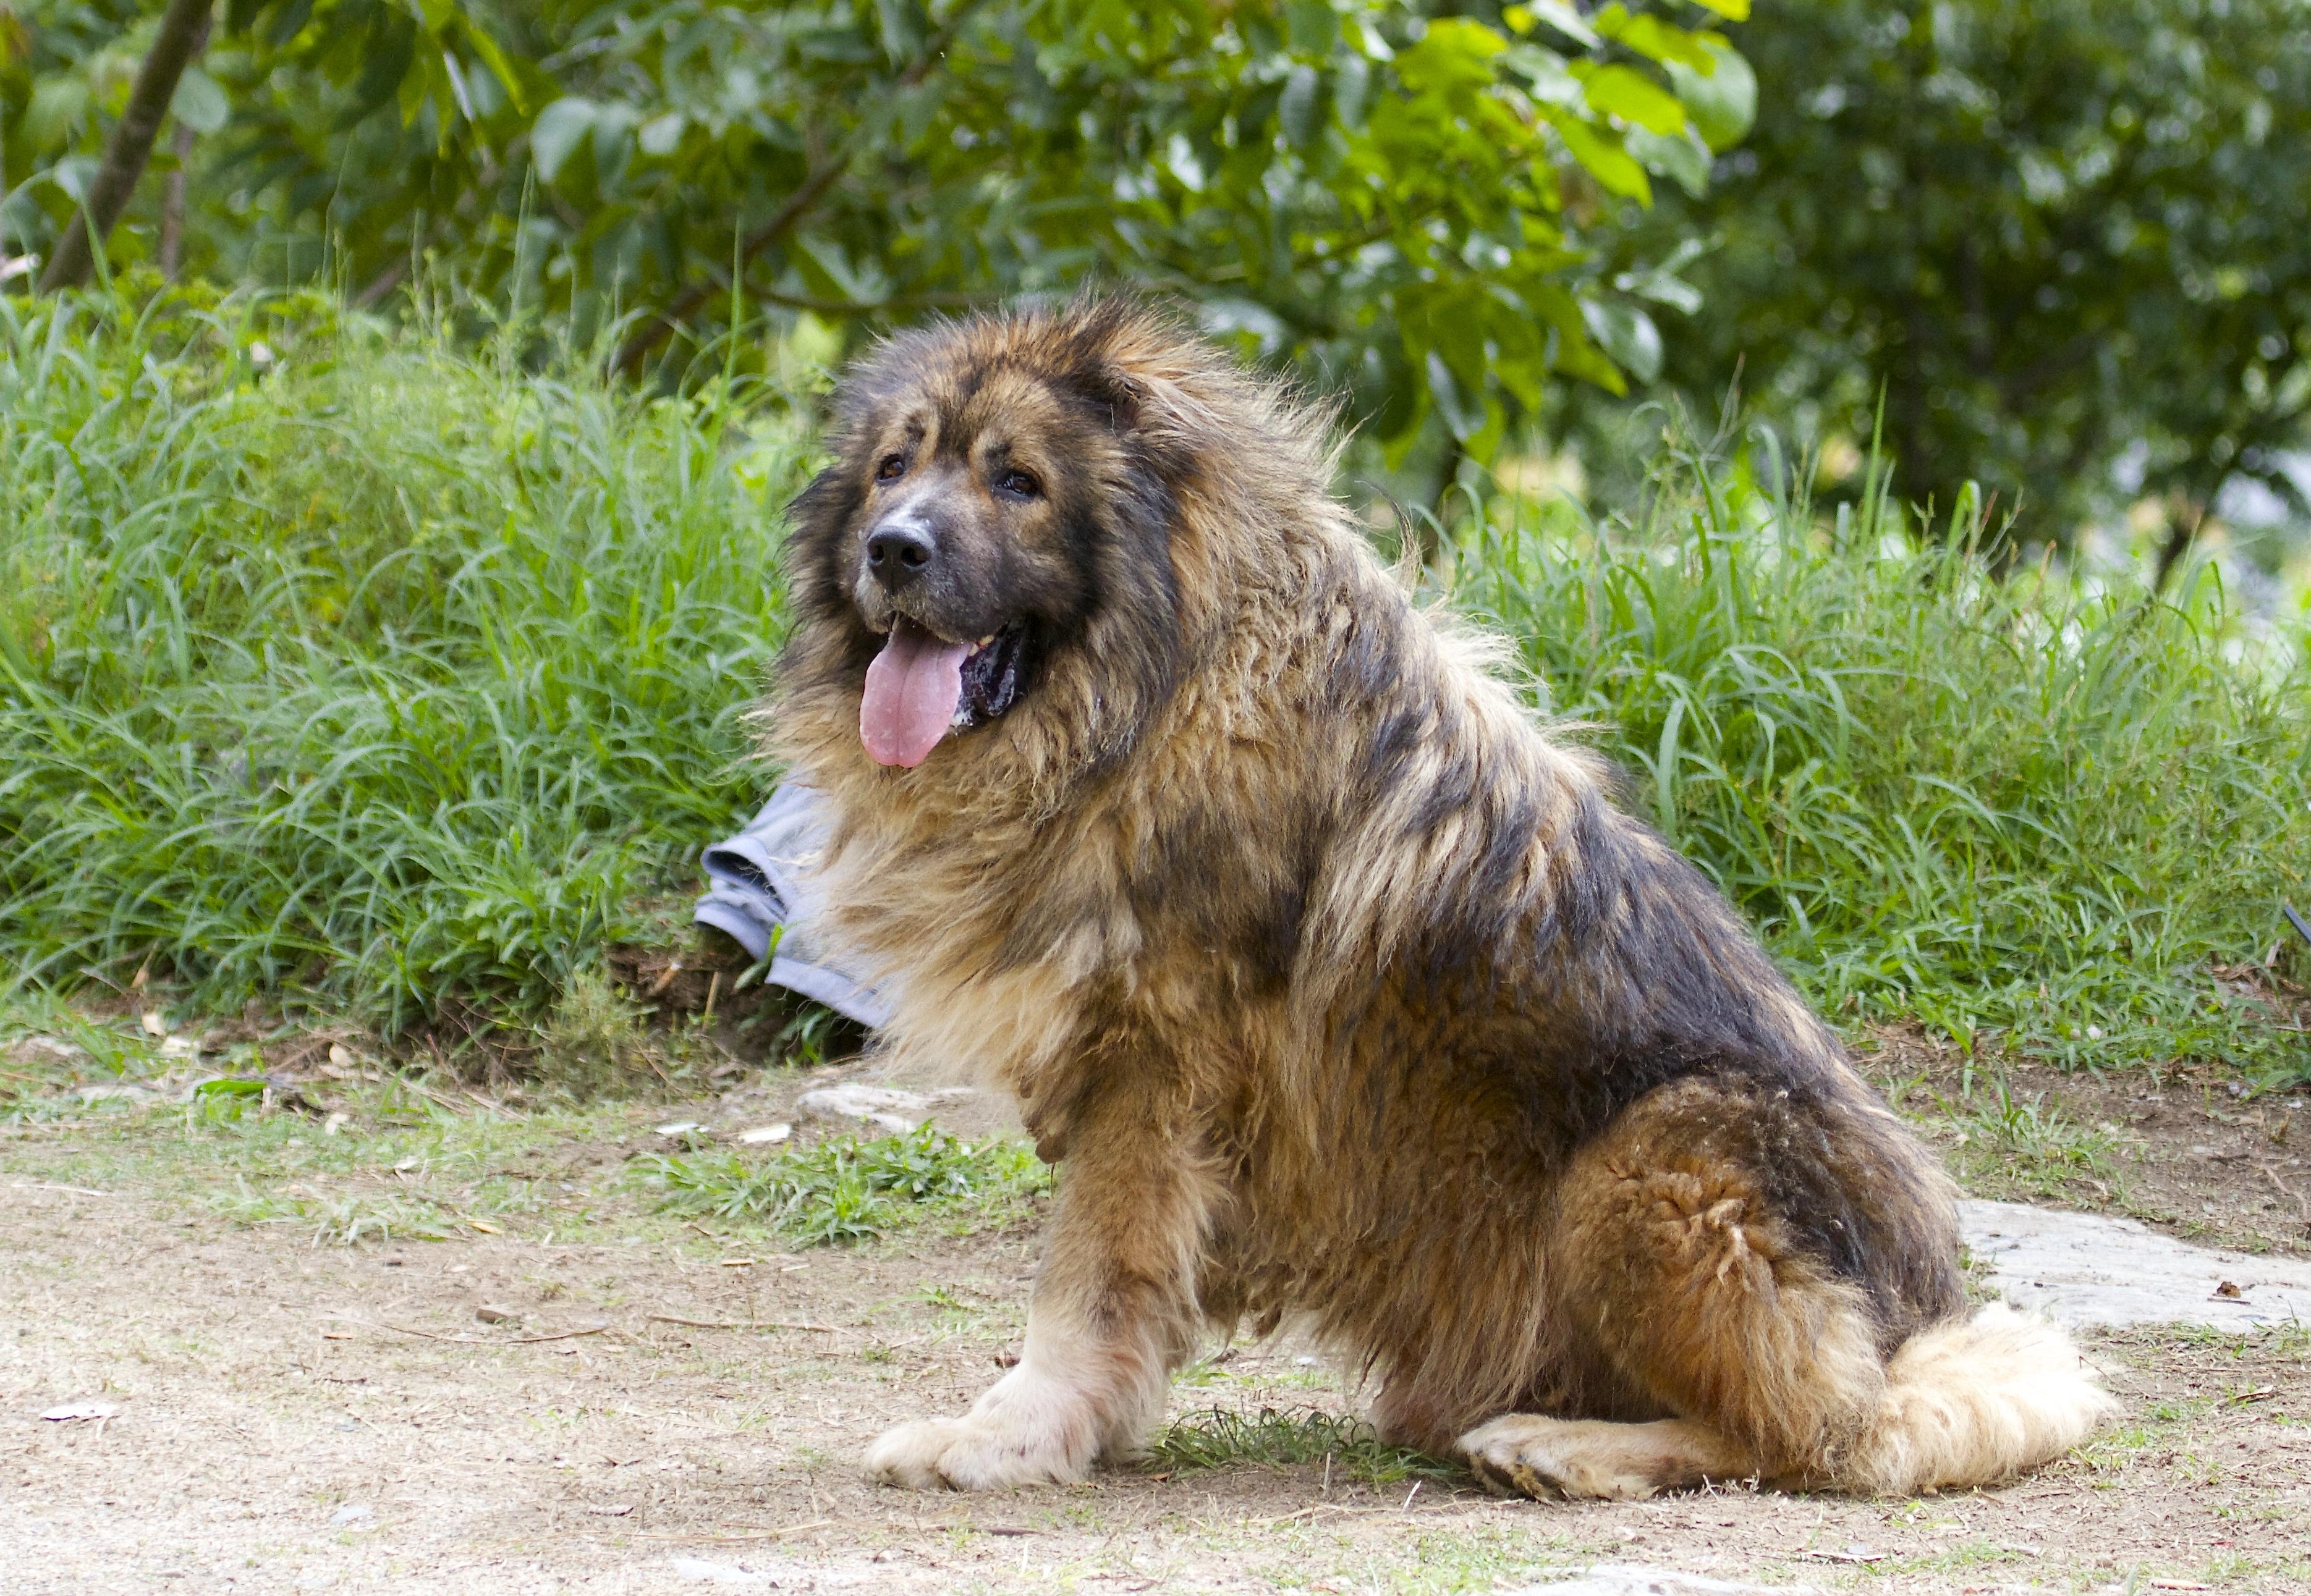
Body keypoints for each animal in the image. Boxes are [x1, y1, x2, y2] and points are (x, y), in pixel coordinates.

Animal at [771, 300, 2116, 1497]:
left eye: (1017, 481)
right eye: (895, 466)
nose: (893, 547)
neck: (1158, 690)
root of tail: (1920, 1322)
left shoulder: (1150, 1070)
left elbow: (1083, 1286)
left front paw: (1008, 1436)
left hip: (1651, 1158)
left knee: (1824, 1434)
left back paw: (1566, 1449)